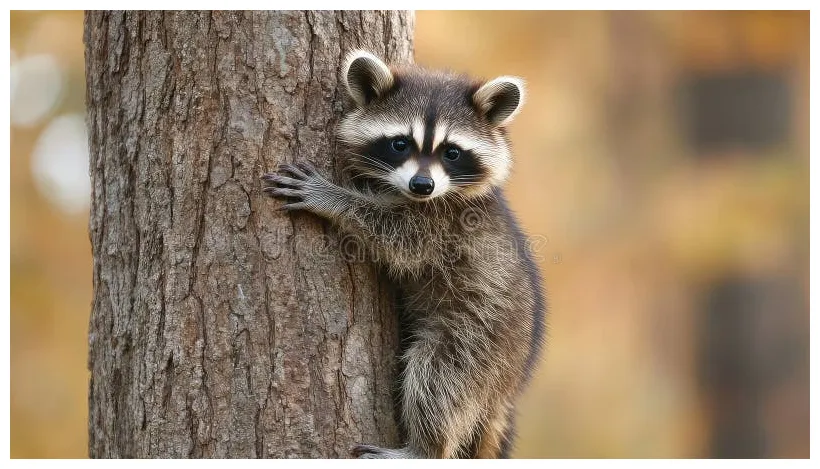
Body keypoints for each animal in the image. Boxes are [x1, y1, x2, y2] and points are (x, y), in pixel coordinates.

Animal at [262, 51, 545, 458]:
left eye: (452, 152)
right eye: (400, 144)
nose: (422, 185)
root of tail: (508, 387)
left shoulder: (446, 222)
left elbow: (398, 238)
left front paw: (334, 199)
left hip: (482, 339)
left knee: (439, 378)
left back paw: (425, 448)